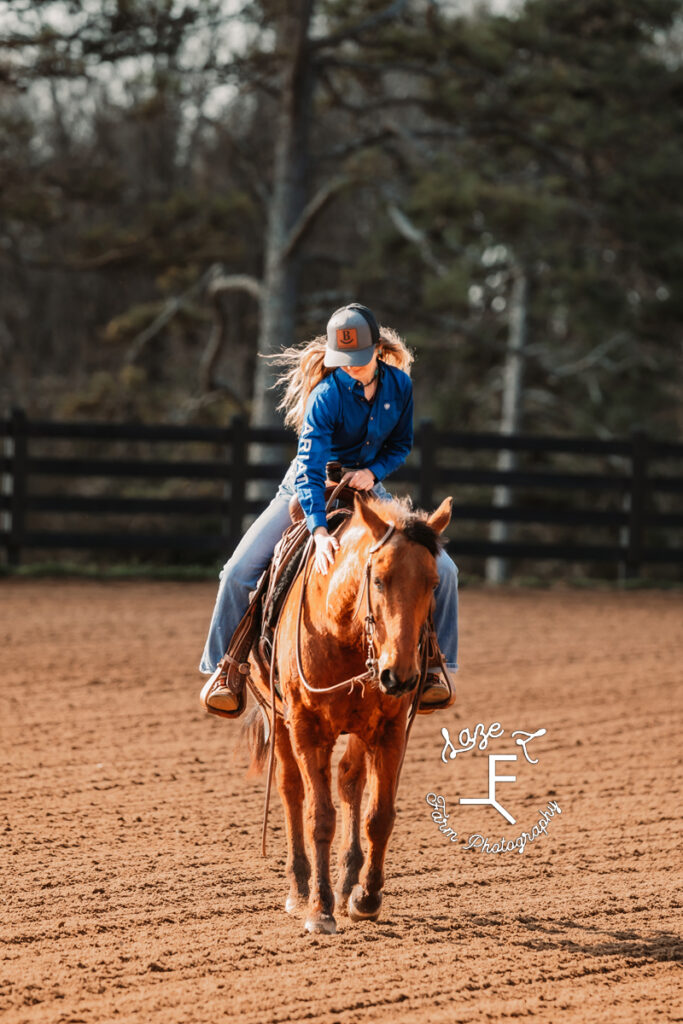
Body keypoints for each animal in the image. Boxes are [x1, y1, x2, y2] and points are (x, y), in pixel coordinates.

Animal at [242, 491, 450, 933]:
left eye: (434, 584)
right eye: (378, 579)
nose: (400, 675)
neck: (339, 631)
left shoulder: (390, 728)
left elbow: (379, 815)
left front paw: (365, 898)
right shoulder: (306, 727)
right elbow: (319, 815)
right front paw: (320, 910)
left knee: (350, 781)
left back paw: (347, 881)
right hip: (279, 716)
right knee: (291, 789)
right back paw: (300, 888)